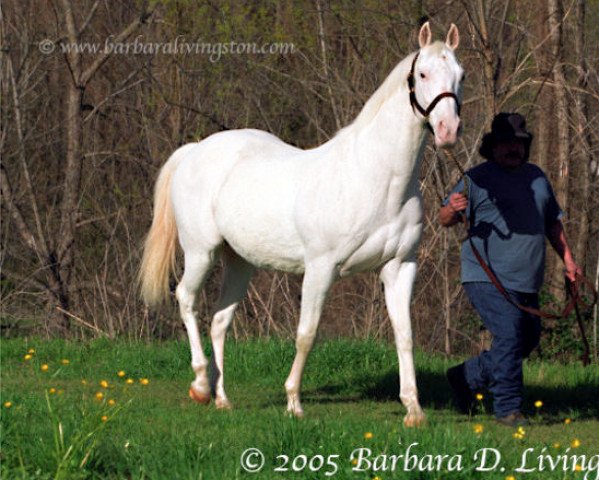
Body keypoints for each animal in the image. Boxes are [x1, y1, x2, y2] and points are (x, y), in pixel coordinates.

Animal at [139, 22, 464, 428]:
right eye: (422, 74)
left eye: (460, 75)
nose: (448, 129)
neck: (375, 179)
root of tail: (195, 151)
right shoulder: (320, 268)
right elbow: (306, 334)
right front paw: (293, 402)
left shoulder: (400, 267)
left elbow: (404, 335)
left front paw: (414, 410)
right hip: (201, 251)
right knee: (186, 298)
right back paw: (199, 386)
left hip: (239, 262)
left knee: (219, 320)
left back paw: (222, 399)